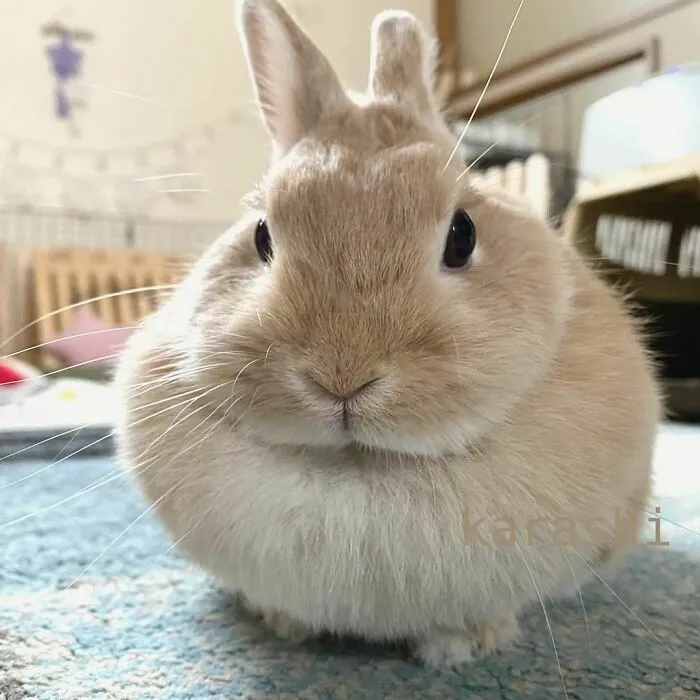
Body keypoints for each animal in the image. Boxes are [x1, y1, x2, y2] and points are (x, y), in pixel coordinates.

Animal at [114, 0, 663, 668]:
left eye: (463, 235)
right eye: (262, 235)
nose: (341, 379)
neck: (362, 466)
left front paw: (462, 647)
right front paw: (283, 624)